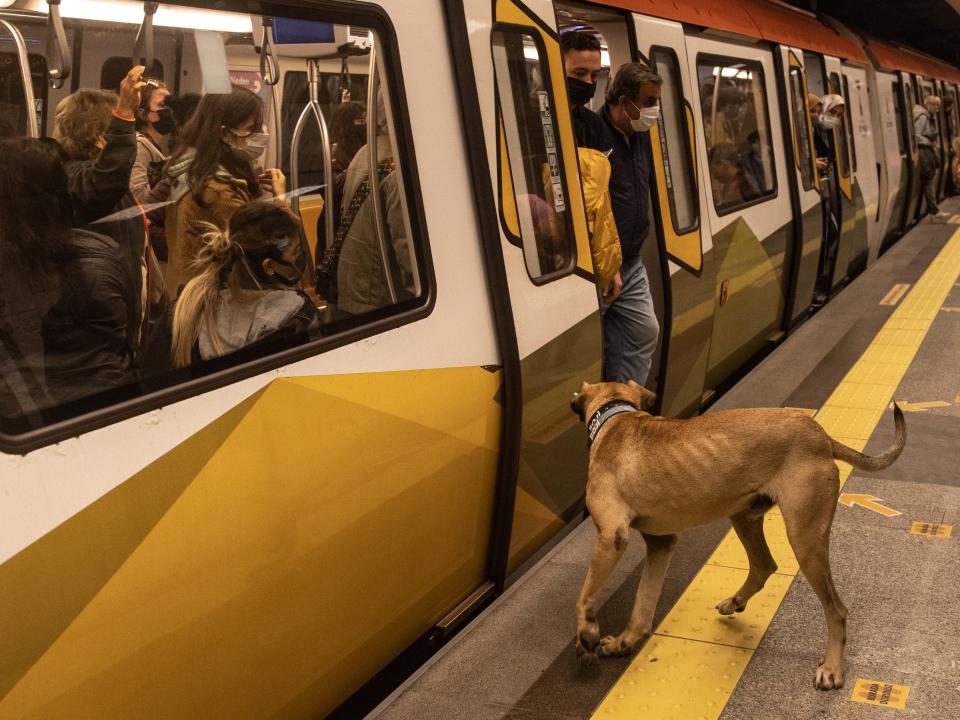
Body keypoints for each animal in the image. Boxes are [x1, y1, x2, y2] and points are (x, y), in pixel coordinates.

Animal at [572, 380, 904, 688]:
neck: (615, 417)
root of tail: (821, 436)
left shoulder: (612, 535)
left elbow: (585, 595)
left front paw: (587, 634)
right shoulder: (661, 542)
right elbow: (642, 605)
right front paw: (623, 642)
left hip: (805, 537)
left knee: (837, 609)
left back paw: (832, 667)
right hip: (744, 516)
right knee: (764, 565)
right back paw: (735, 601)